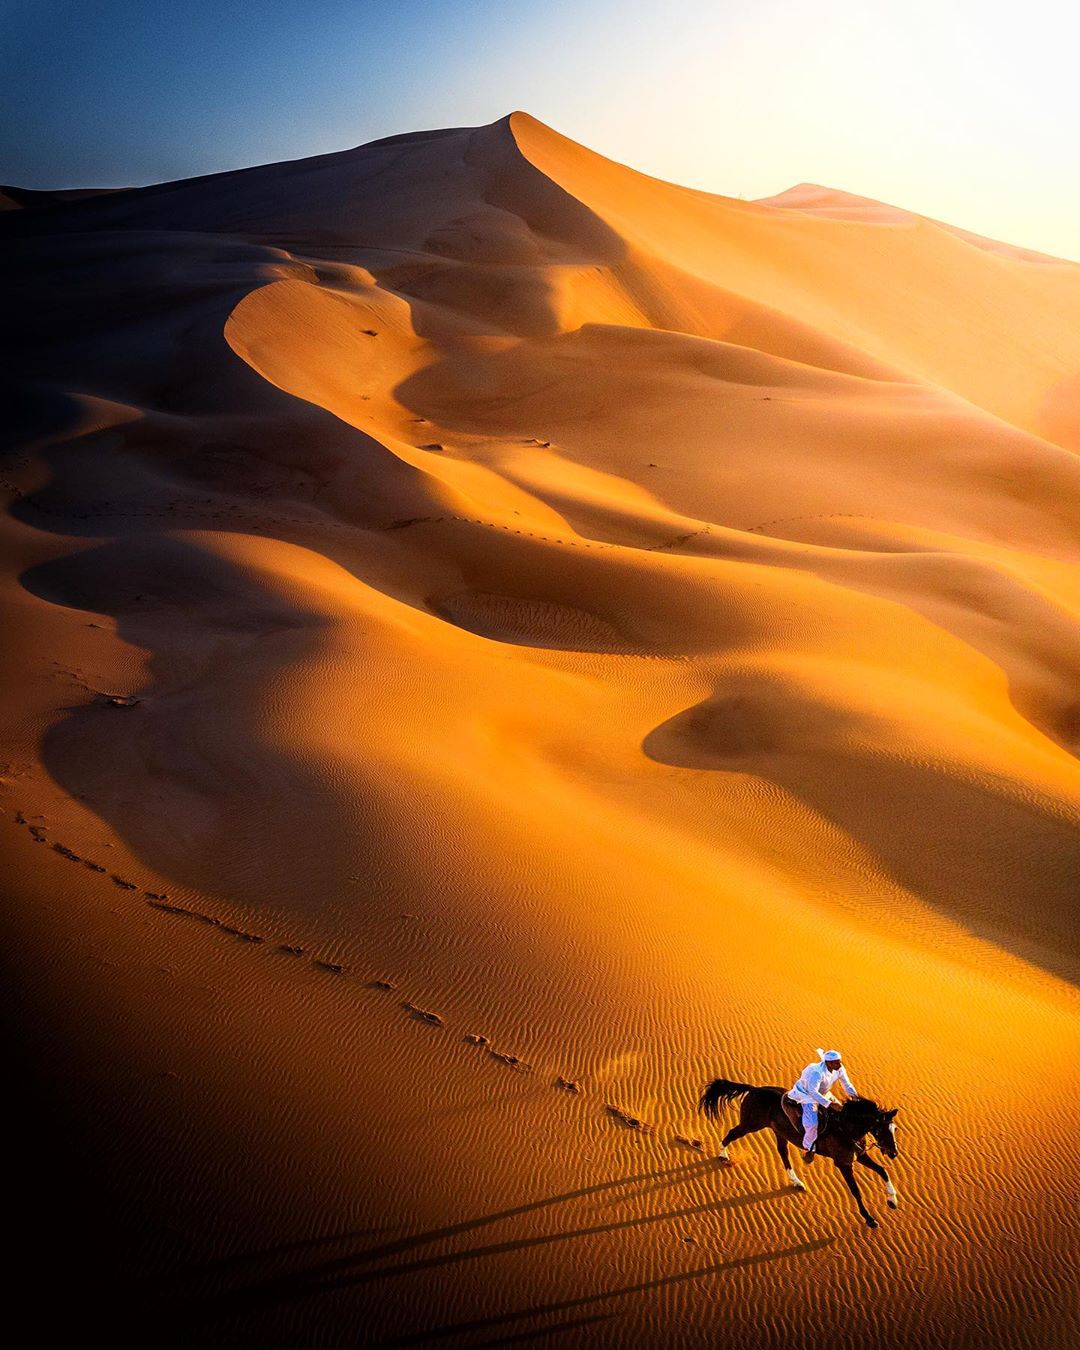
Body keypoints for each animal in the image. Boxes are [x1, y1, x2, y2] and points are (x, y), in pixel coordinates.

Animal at [696, 1080, 896, 1231]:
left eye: (894, 1129)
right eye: (881, 1129)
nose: (893, 1153)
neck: (845, 1126)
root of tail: (753, 1089)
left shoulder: (859, 1156)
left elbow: (882, 1171)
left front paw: (892, 1200)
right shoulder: (843, 1163)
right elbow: (856, 1191)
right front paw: (869, 1219)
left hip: (779, 1132)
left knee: (783, 1153)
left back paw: (797, 1182)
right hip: (750, 1125)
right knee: (732, 1133)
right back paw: (723, 1155)